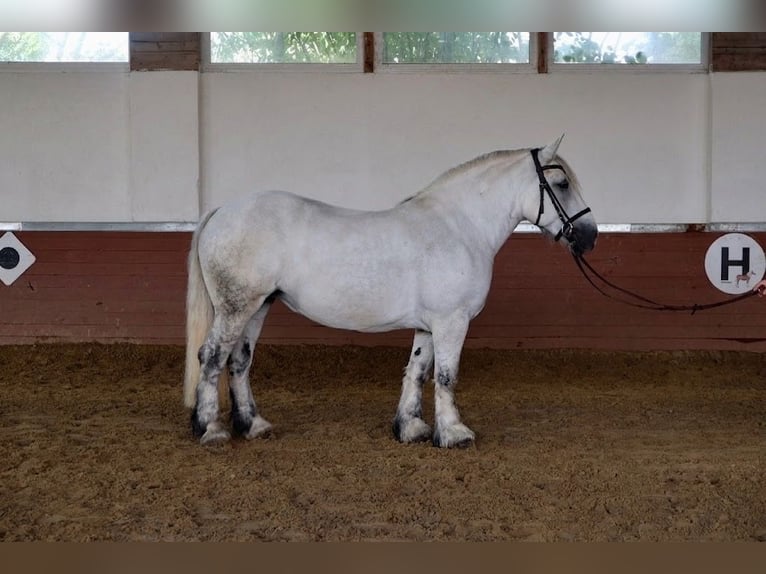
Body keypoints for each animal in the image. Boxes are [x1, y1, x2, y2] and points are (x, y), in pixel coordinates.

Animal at [184, 135, 598, 448]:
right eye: (562, 184)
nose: (590, 236)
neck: (459, 225)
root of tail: (222, 210)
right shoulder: (452, 321)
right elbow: (445, 375)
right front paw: (454, 434)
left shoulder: (430, 324)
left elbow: (417, 370)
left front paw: (412, 429)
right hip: (236, 308)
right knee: (212, 357)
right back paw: (212, 429)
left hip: (258, 307)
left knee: (239, 361)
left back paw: (253, 425)